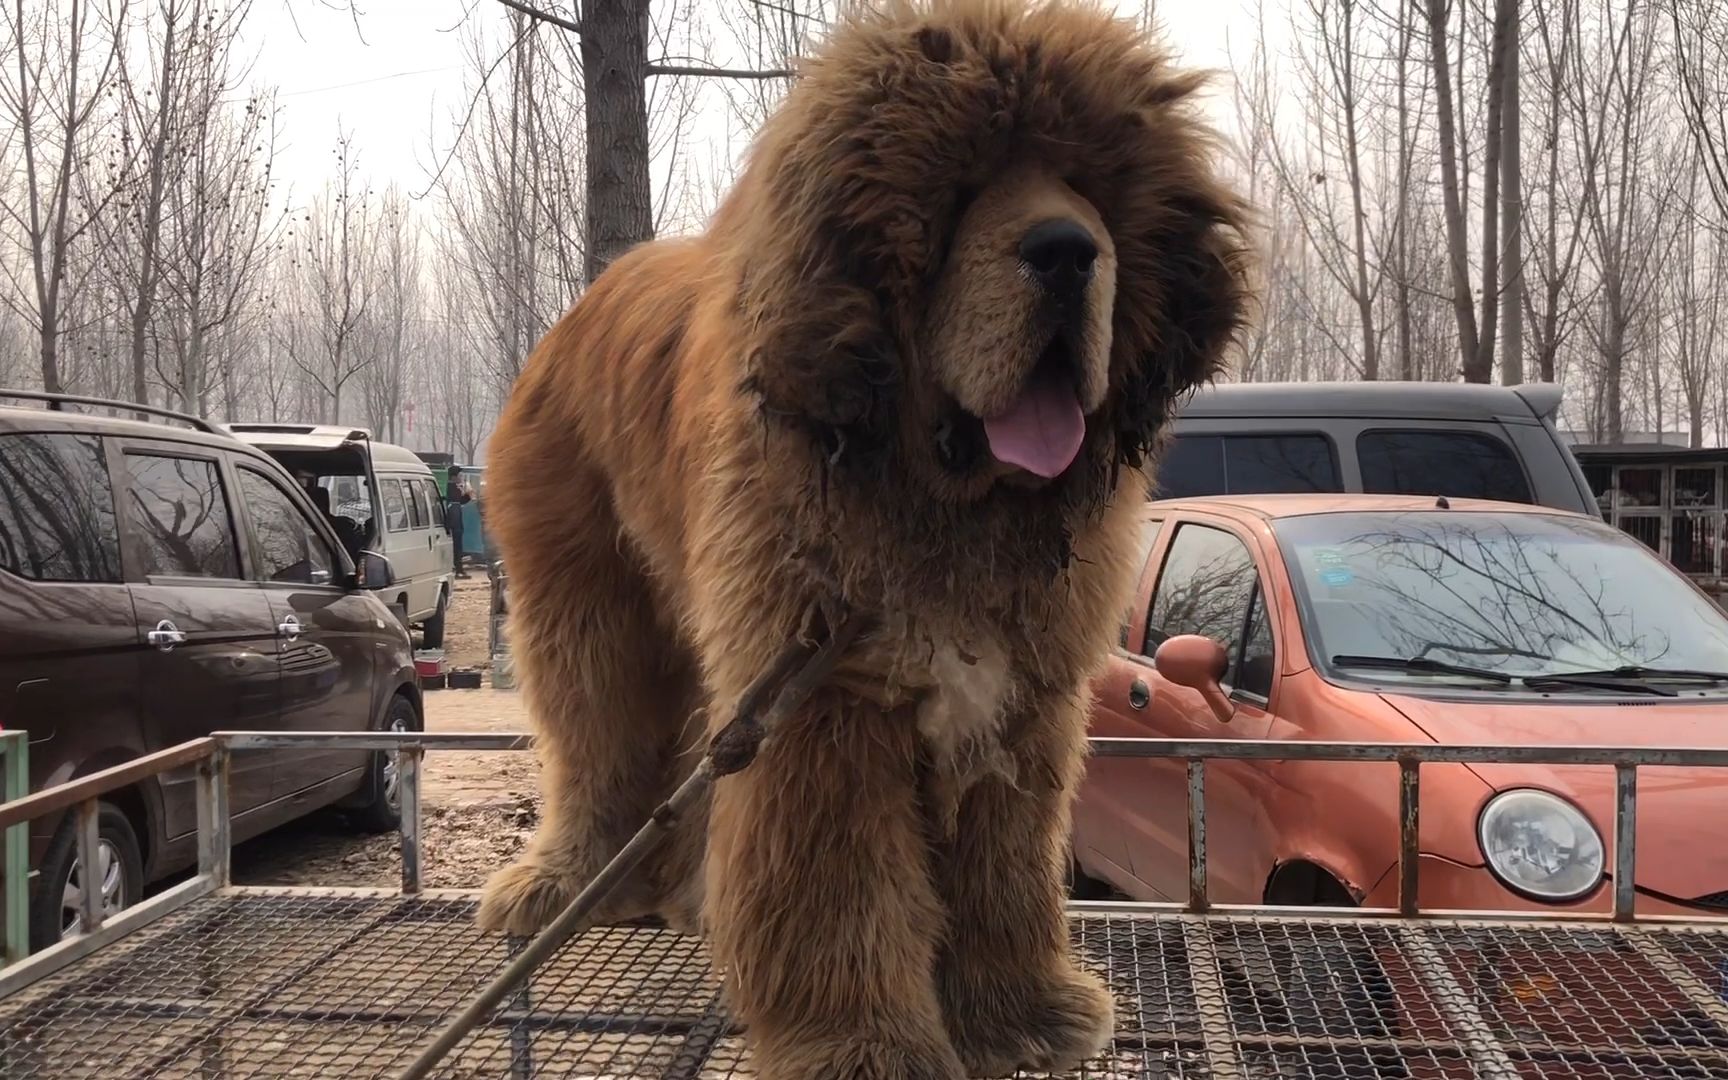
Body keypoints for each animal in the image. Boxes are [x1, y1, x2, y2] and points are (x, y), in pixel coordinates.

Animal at [480, 0, 1251, 1071]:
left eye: (1087, 184)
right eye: (962, 190)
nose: (1067, 250)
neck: (944, 509)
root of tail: (587, 303)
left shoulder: (1023, 698)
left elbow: (1005, 869)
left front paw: (1021, 1009)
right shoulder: (822, 703)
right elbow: (841, 896)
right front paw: (863, 1045)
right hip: (591, 602)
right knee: (598, 732)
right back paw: (566, 879)